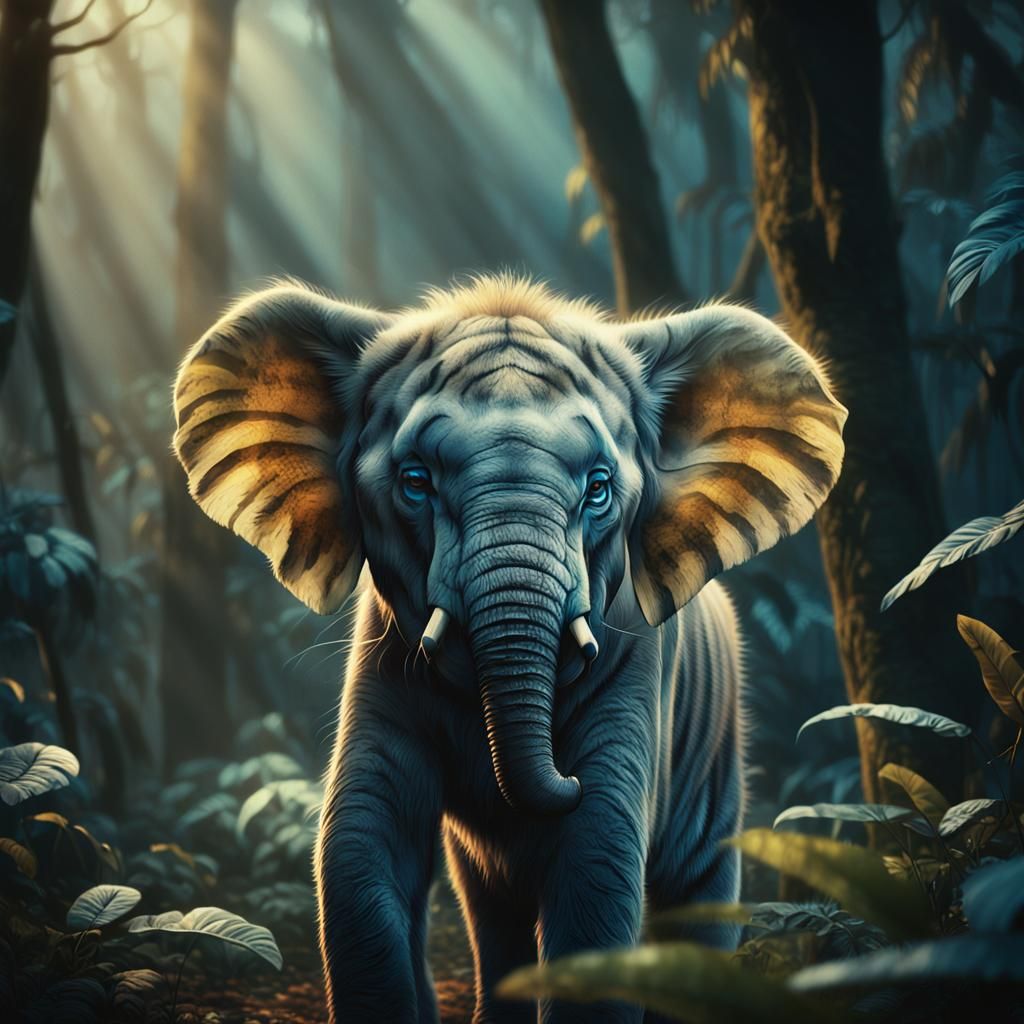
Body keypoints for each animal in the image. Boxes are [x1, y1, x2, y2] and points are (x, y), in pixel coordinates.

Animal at [171, 275, 846, 1023]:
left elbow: (598, 857)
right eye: (415, 481)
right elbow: (361, 843)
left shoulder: (639, 666)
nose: (563, 779)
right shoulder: (383, 659)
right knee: (492, 907)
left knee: (696, 888)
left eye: (599, 488)